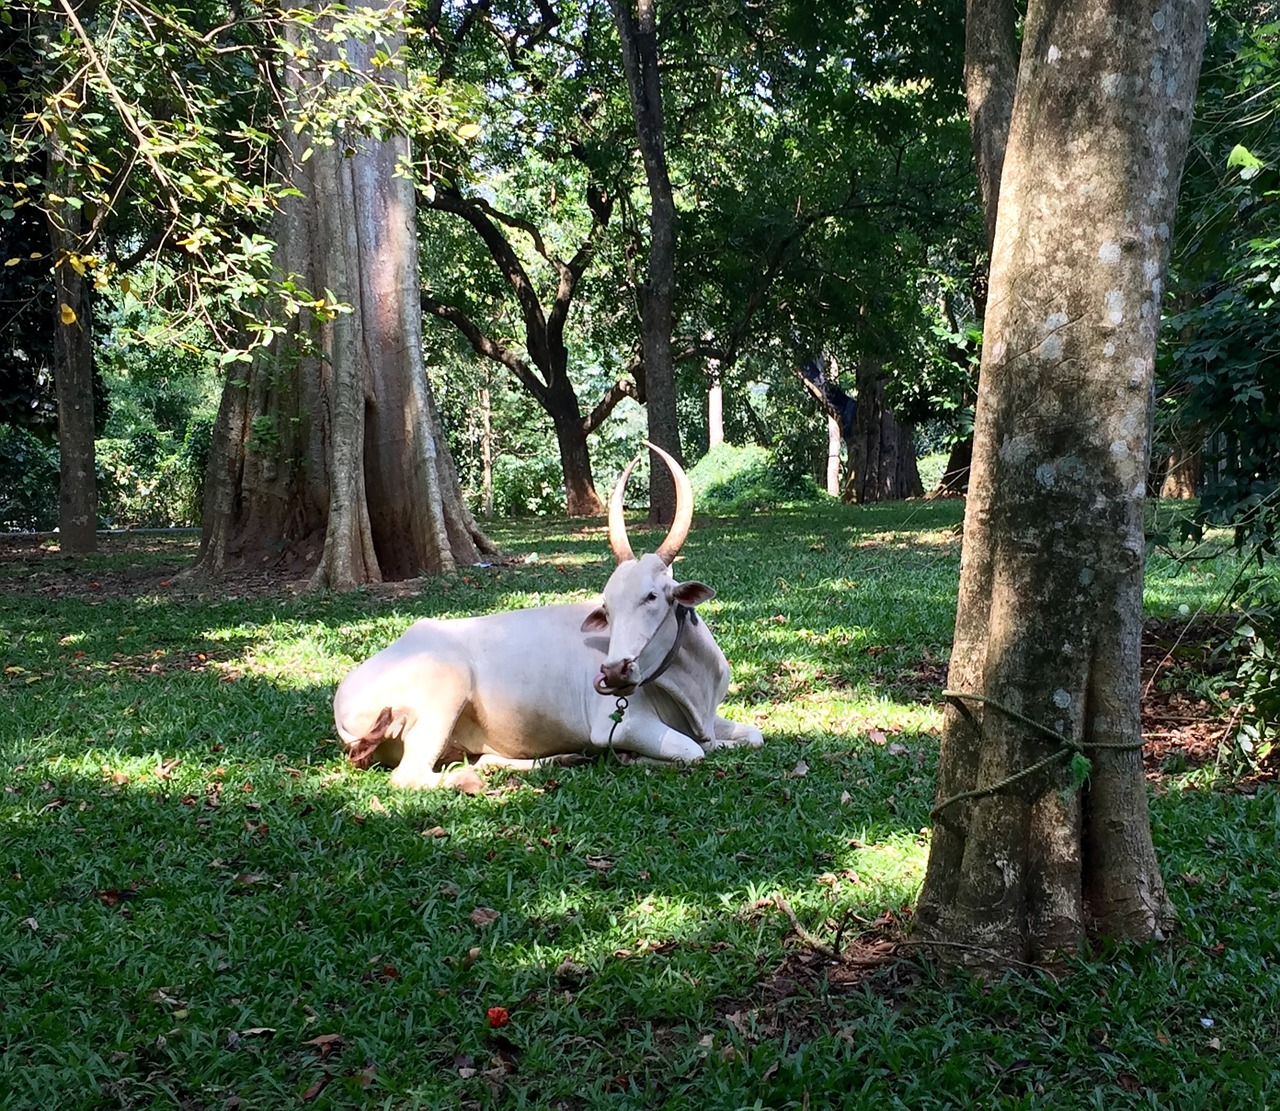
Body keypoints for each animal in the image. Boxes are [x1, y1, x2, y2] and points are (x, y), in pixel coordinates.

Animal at [335, 442, 762, 788]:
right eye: (607, 607)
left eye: (652, 596)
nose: (614, 672)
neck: (693, 685)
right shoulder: (623, 726)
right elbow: (693, 751)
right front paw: (632, 758)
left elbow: (752, 737)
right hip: (443, 693)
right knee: (411, 776)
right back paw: (474, 781)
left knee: (484, 757)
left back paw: (558, 759)